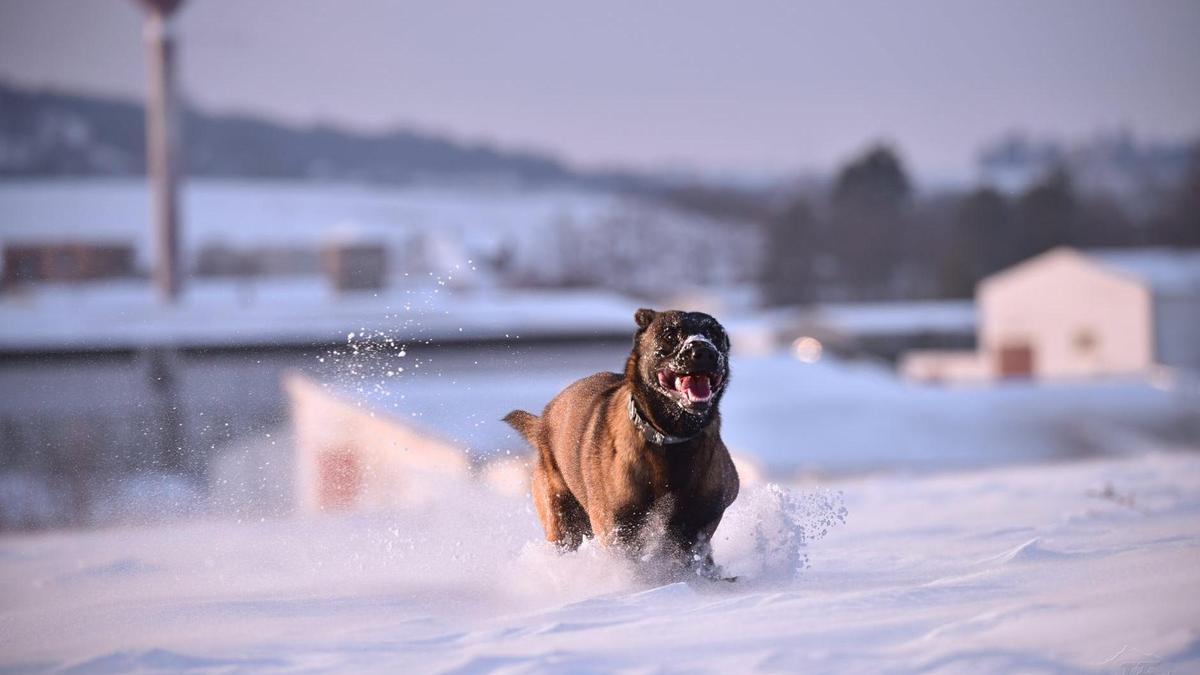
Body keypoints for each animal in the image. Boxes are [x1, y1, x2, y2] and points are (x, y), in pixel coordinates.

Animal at [501, 307, 734, 576]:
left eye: (715, 334)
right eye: (670, 335)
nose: (704, 350)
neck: (670, 439)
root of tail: (543, 423)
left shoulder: (702, 517)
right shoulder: (617, 527)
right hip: (562, 519)